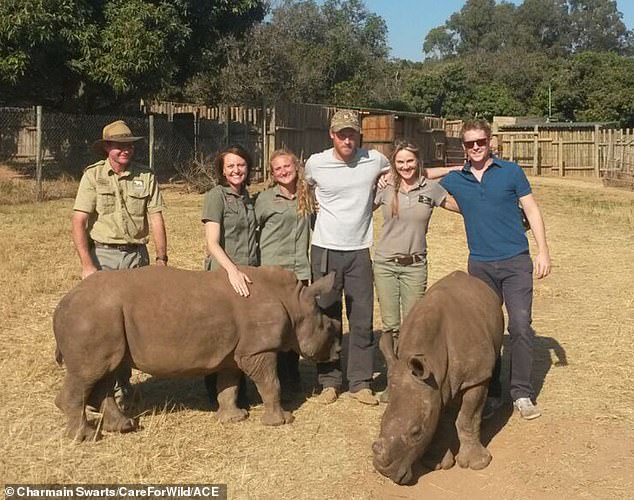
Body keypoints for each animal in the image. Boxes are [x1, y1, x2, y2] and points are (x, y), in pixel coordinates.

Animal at [54, 266, 340, 442]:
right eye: (328, 328)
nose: (337, 352)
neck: (295, 303)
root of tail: (61, 304)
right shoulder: (258, 349)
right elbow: (271, 383)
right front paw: (282, 421)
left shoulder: (234, 352)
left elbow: (229, 385)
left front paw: (233, 419)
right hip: (90, 318)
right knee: (89, 373)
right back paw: (86, 437)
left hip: (101, 320)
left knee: (106, 371)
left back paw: (124, 427)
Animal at [368, 272, 502, 482]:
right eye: (381, 422)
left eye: (416, 432)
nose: (386, 473)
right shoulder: (433, 387)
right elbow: (439, 418)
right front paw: (437, 463)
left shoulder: (476, 377)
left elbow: (468, 417)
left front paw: (478, 464)